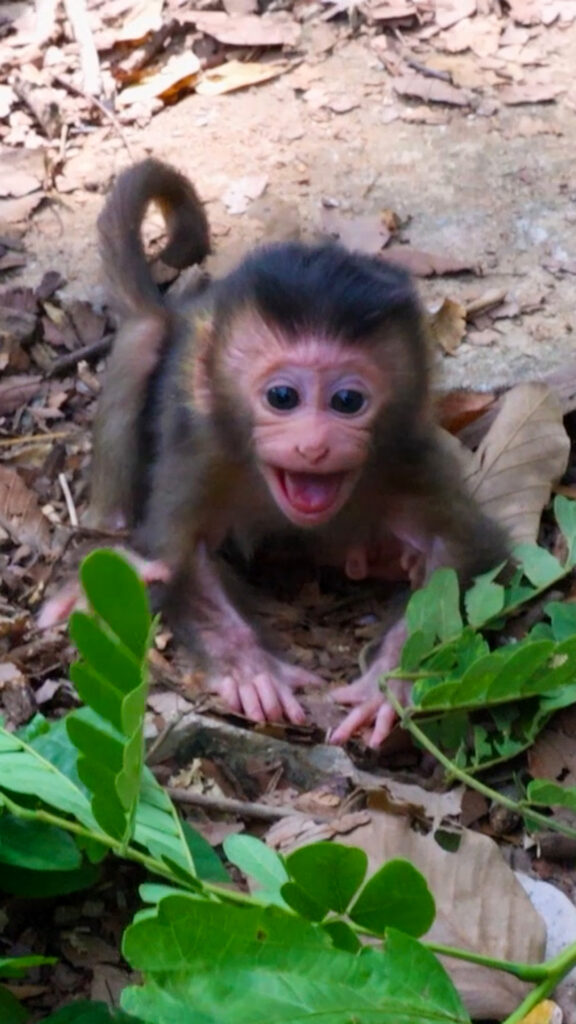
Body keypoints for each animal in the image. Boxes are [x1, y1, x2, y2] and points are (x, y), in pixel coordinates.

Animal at [40, 158, 509, 747]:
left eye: (347, 401)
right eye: (282, 397)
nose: (314, 444)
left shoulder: (408, 454)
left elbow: (465, 550)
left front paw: (390, 684)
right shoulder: (203, 453)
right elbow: (174, 556)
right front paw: (251, 670)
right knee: (144, 338)